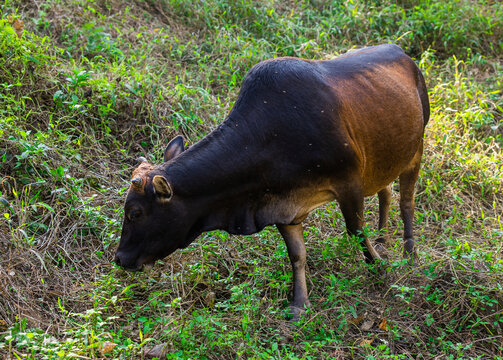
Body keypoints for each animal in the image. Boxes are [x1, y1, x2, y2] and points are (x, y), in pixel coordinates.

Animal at [116, 43, 432, 316]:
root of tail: (403, 54)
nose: (119, 258)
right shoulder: (283, 206)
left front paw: (380, 269)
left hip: (416, 149)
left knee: (406, 202)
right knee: (386, 192)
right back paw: (382, 238)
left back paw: (410, 253)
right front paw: (299, 304)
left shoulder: (349, 184)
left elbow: (355, 233)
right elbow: (297, 256)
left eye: (135, 213)